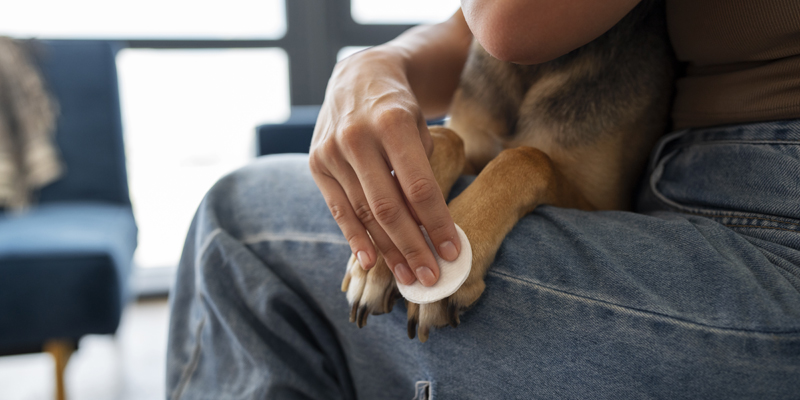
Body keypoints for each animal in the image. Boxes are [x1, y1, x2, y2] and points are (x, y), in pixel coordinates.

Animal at [340, 0, 676, 344]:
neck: (534, 65)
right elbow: (447, 137)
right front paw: (381, 260)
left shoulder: (606, 202)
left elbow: (527, 156)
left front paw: (457, 251)